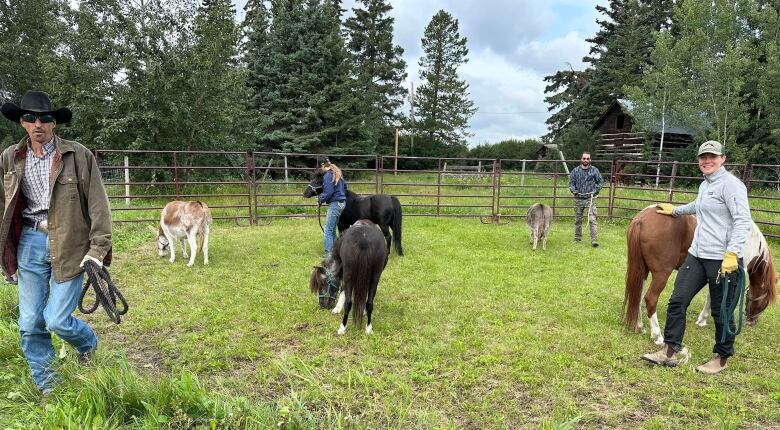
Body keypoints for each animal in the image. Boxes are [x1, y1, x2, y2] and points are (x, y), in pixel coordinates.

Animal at [624, 207, 776, 344]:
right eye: (765, 302)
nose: (752, 322)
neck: (748, 239)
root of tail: (641, 219)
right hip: (661, 274)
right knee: (650, 298)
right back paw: (657, 335)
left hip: (642, 271)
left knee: (637, 295)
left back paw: (639, 326)